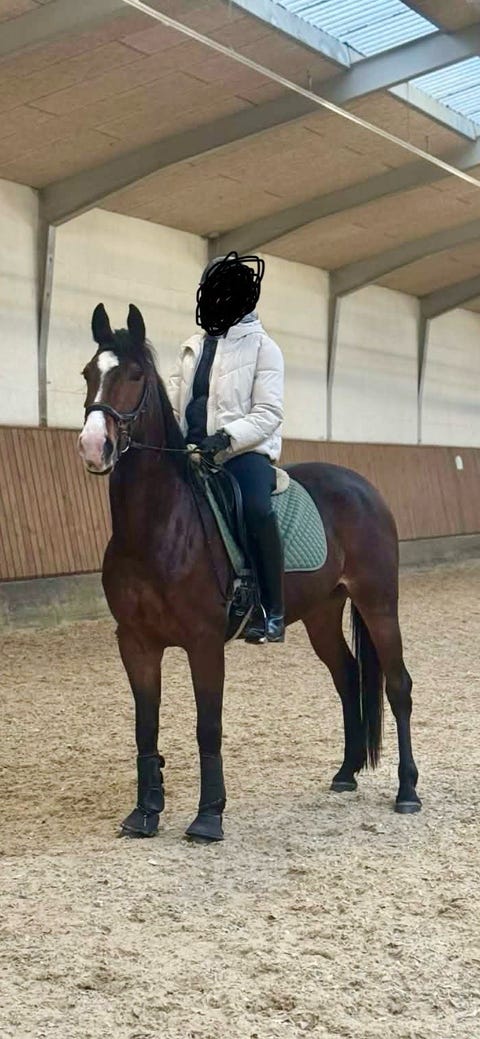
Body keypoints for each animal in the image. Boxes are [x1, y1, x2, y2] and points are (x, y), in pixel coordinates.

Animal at [78, 302, 420, 842]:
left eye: (135, 375)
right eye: (89, 374)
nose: (95, 446)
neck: (157, 526)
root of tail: (363, 486)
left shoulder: (202, 642)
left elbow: (208, 727)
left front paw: (208, 817)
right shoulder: (135, 642)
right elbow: (145, 726)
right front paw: (145, 812)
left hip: (379, 602)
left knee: (397, 686)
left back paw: (407, 792)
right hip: (323, 613)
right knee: (347, 677)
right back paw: (345, 775)